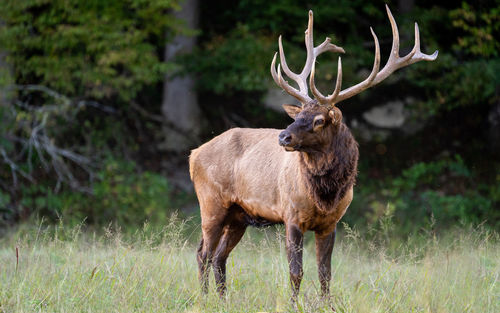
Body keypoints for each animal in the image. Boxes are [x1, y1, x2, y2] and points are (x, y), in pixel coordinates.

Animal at [189, 4, 436, 298]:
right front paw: (294, 303)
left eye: (319, 120)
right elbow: (296, 273)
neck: (324, 195)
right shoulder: (291, 216)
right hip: (211, 203)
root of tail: (193, 155)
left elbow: (325, 274)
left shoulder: (331, 223)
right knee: (203, 253)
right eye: (298, 115)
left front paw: (328, 303)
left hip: (238, 215)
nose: (283, 136)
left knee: (219, 257)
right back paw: (204, 298)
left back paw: (222, 299)